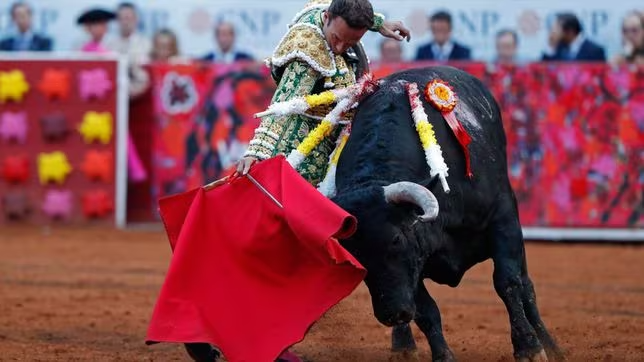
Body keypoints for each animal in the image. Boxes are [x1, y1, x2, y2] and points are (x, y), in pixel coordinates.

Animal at [332, 66, 564, 360]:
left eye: (395, 239)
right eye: (352, 254)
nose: (391, 314)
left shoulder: (503, 219)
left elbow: (508, 283)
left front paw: (530, 348)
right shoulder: (415, 261)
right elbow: (426, 311)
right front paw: (442, 355)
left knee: (526, 286)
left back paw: (551, 346)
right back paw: (403, 346)